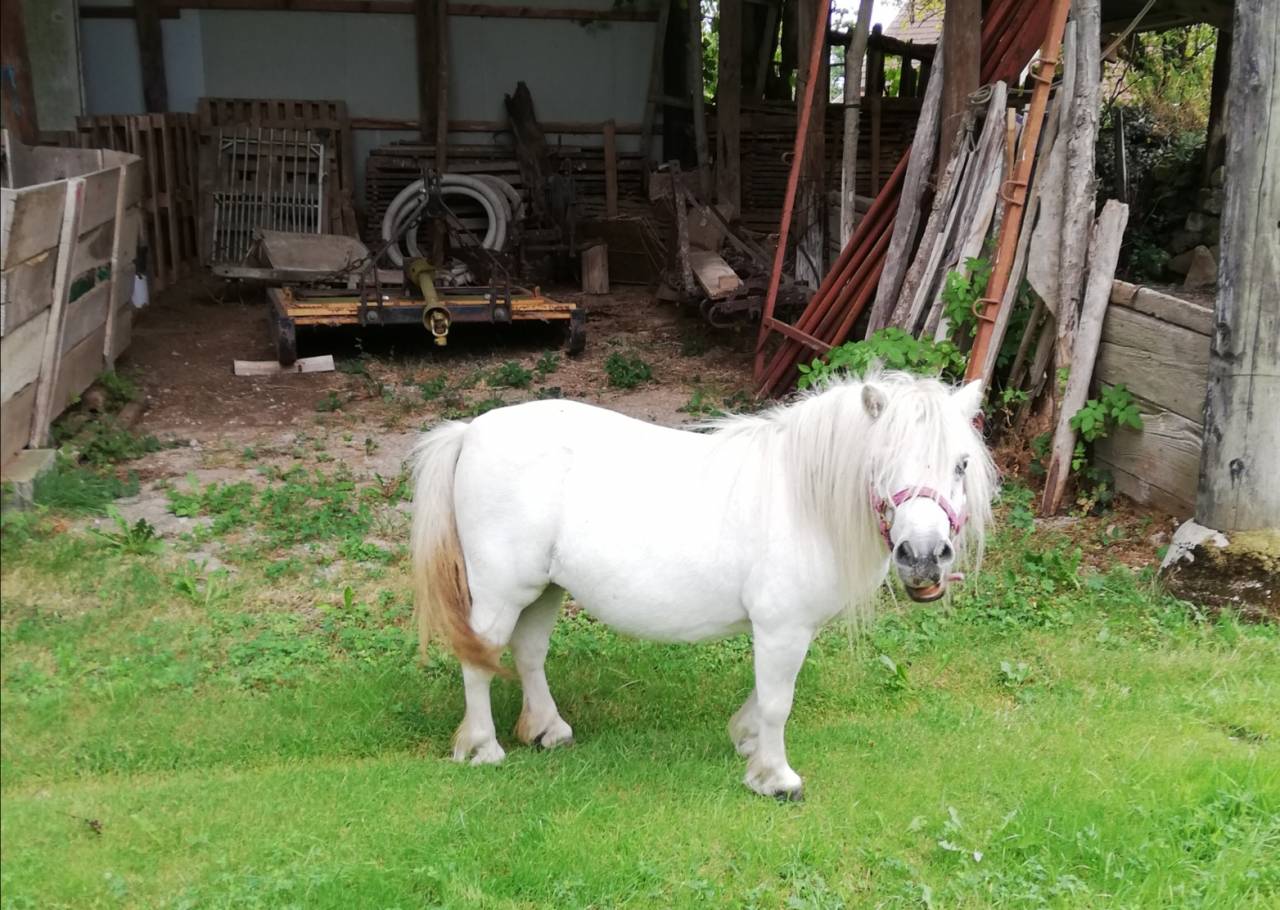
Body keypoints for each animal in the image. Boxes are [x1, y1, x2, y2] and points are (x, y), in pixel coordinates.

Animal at [409, 371, 996, 800]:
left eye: (961, 464)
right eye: (881, 463)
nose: (924, 557)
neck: (803, 496)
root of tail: (470, 432)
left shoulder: (785, 631)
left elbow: (766, 694)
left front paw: (748, 742)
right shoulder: (781, 628)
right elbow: (778, 701)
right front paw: (776, 778)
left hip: (544, 588)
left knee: (529, 653)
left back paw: (548, 730)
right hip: (500, 592)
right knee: (480, 661)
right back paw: (483, 747)